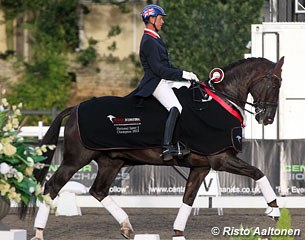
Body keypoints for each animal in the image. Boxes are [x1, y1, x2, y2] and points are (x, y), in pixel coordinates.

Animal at [28, 56, 282, 240]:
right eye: (275, 83)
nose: (268, 118)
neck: (221, 102)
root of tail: (75, 108)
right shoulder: (221, 158)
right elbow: (258, 172)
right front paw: (274, 210)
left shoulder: (201, 167)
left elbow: (188, 198)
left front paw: (178, 233)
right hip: (75, 159)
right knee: (52, 186)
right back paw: (39, 233)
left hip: (111, 161)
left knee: (98, 191)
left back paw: (127, 227)